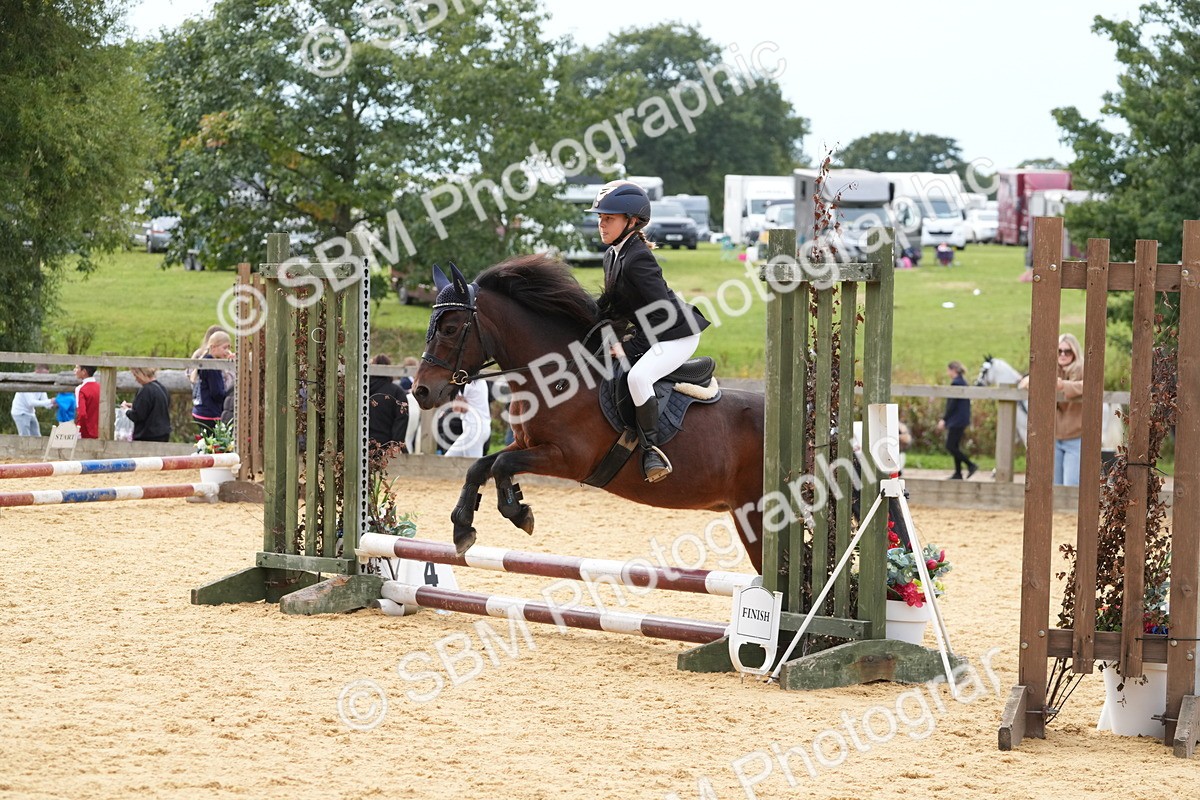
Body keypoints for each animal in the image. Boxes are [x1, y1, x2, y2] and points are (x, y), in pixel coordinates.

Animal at [410, 257, 766, 573]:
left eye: (450, 329)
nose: (420, 391)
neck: (556, 378)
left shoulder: (569, 458)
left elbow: (501, 465)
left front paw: (518, 512)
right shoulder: (526, 443)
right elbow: (481, 466)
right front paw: (463, 528)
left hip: (756, 515)